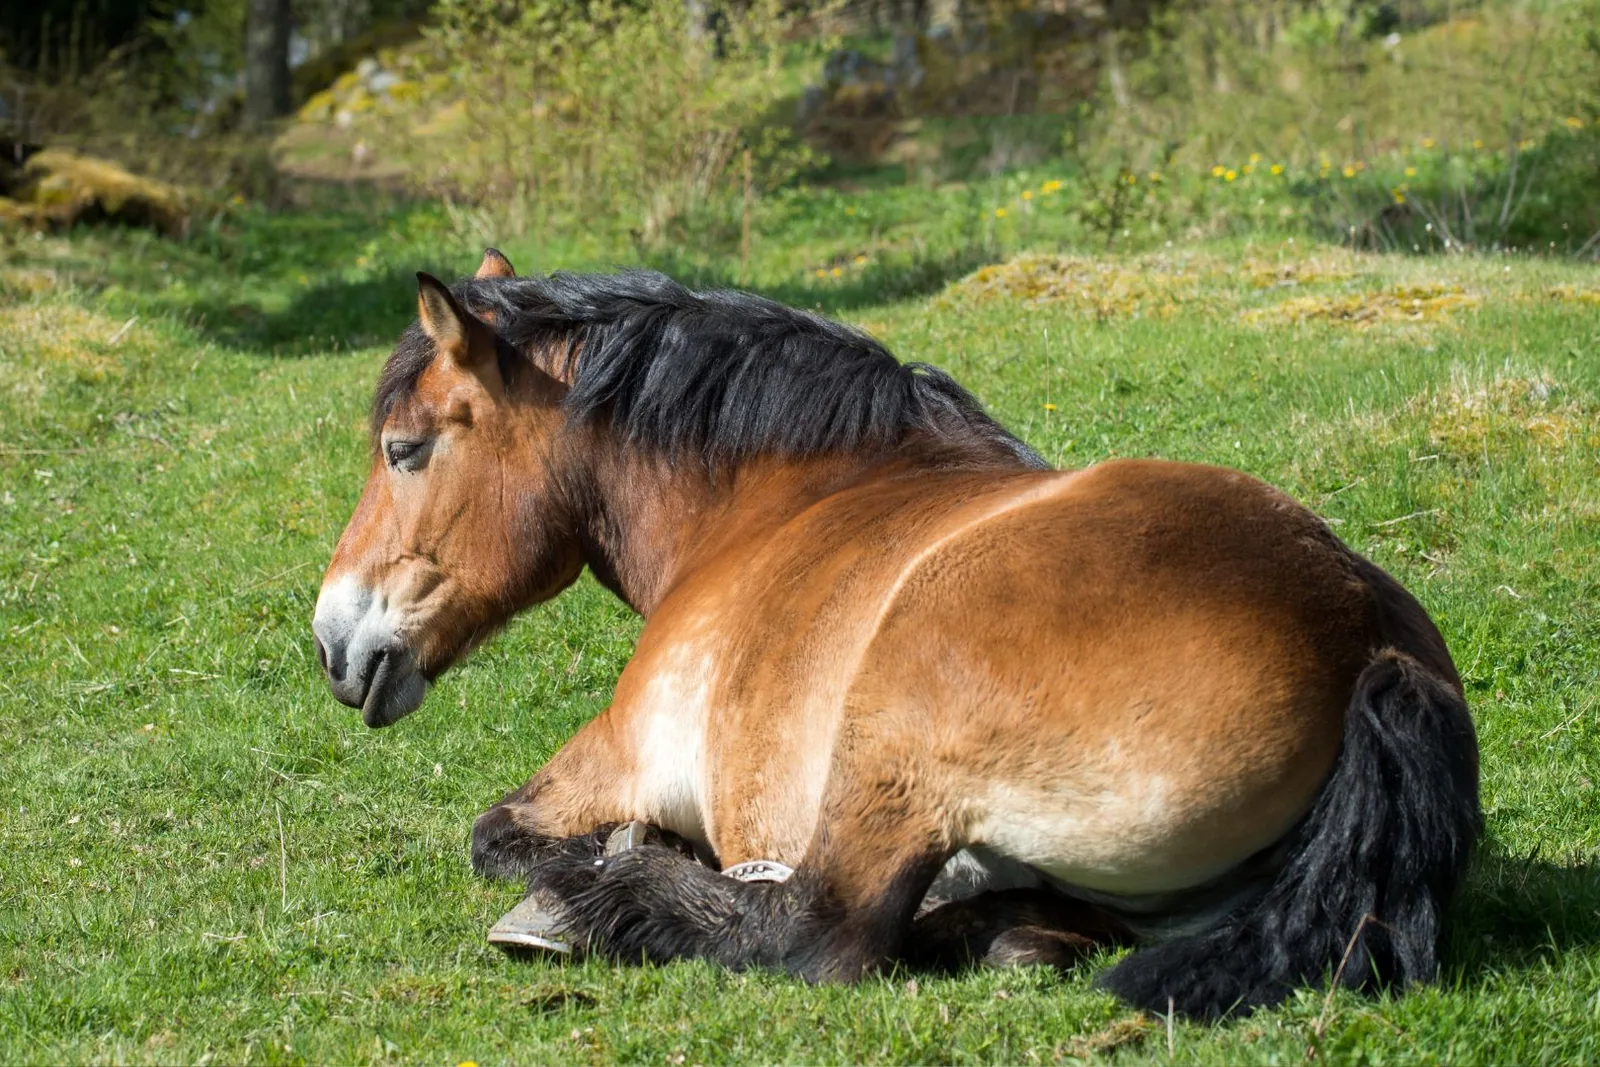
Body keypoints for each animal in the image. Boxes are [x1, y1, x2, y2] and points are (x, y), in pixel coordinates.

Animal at [310, 249, 1481, 1020]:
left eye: (406, 448)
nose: (332, 640)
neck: (773, 502)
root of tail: (1364, 637)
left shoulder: (615, 754)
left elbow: (497, 833)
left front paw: (604, 863)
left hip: (892, 739)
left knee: (823, 933)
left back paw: (595, 904)